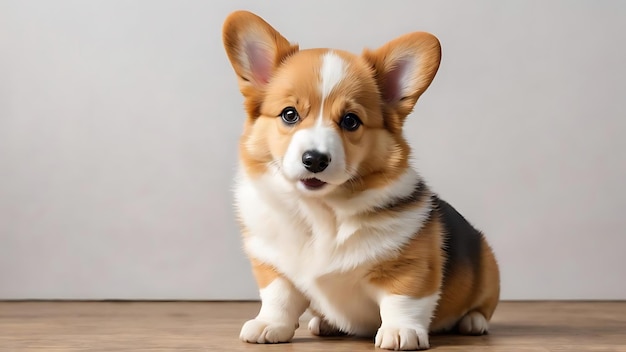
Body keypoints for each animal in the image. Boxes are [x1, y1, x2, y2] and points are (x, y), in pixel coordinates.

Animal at [222, 10, 500, 350]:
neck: (320, 212)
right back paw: (326, 323)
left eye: (350, 121)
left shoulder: (410, 266)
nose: (315, 160)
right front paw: (269, 325)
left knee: (481, 306)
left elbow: (403, 301)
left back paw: (473, 322)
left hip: (488, 265)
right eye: (289, 114)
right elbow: (279, 298)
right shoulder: (272, 265)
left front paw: (400, 332)